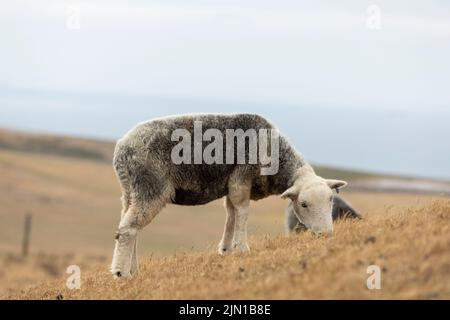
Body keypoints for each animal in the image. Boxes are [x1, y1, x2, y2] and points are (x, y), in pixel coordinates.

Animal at [111, 113, 348, 278]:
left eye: (331, 200)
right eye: (304, 204)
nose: (326, 234)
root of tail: (121, 151)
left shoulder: (231, 184)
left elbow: (231, 215)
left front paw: (226, 249)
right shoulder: (241, 180)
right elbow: (242, 211)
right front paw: (242, 248)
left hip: (130, 191)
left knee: (129, 226)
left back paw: (133, 271)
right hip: (151, 187)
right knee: (128, 229)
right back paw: (121, 274)